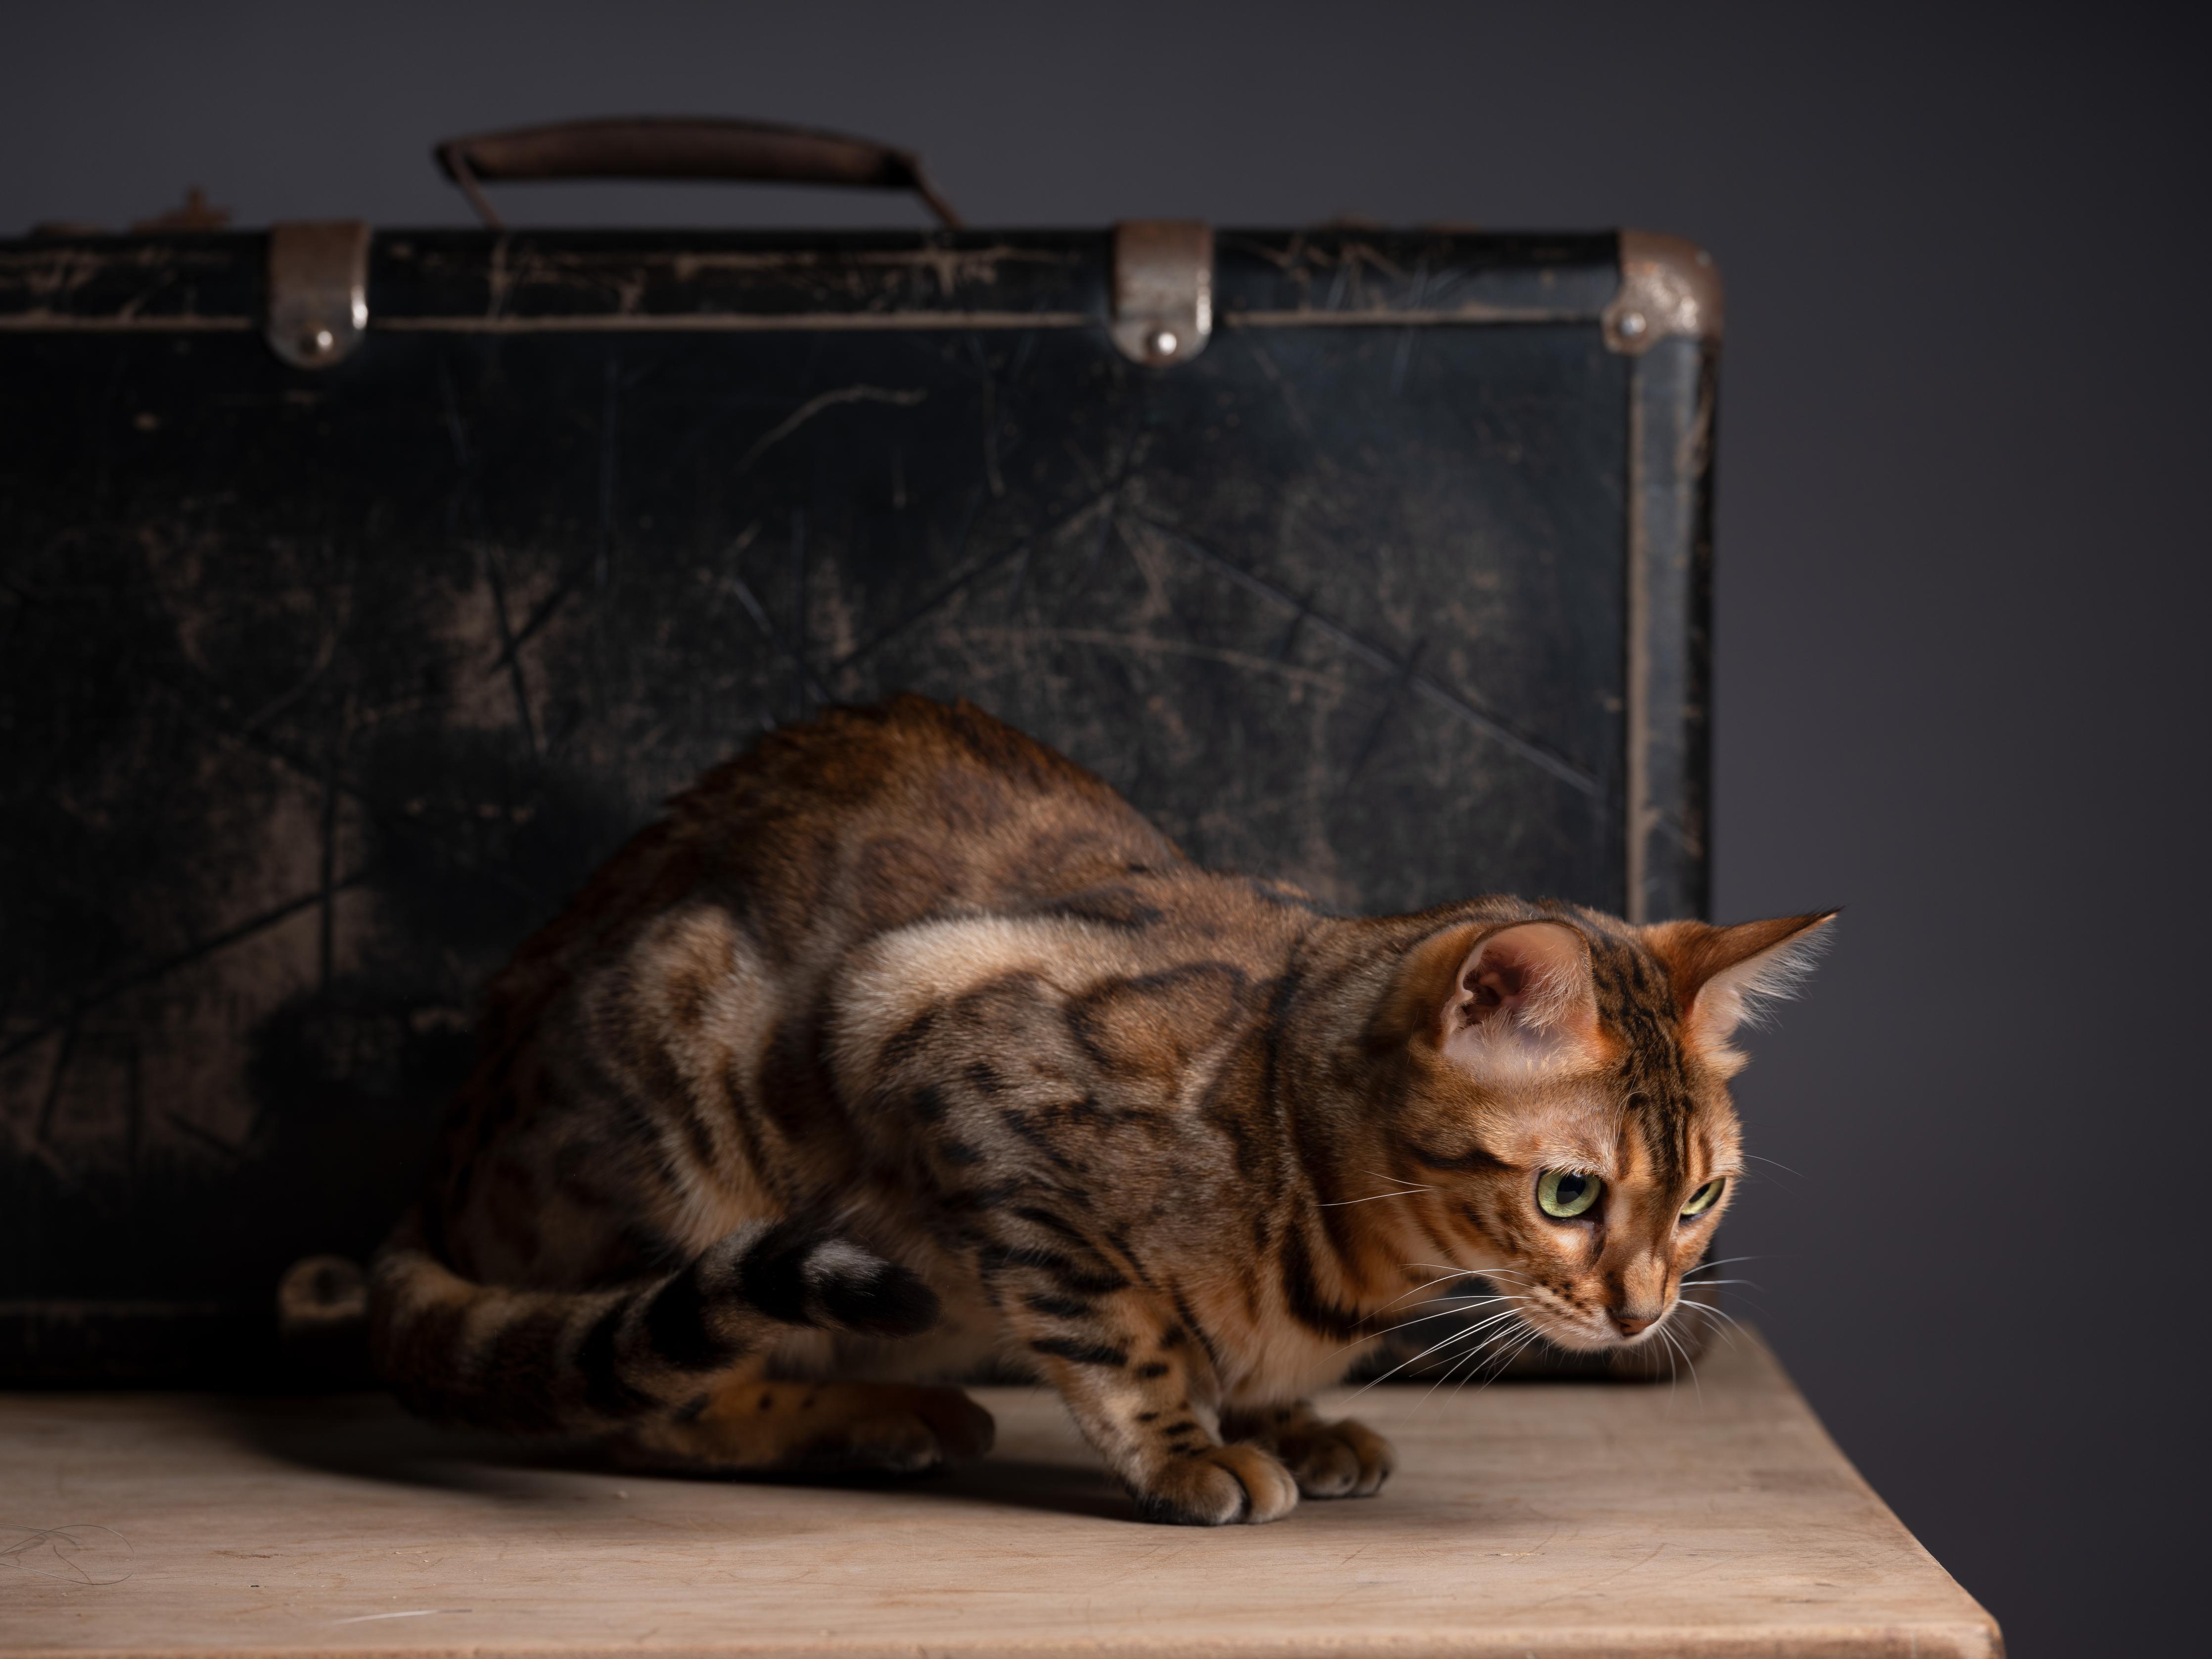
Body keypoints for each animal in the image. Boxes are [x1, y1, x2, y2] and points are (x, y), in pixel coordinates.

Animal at [376, 694, 1831, 1530]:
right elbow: (1122, 1328)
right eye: (1568, 1193)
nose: (1644, 1312)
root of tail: (431, 1193)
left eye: (1699, 1197)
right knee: (645, 1402)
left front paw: (1286, 1419)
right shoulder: (938, 1049)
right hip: (691, 1079)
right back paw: (879, 1420)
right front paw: (1191, 1448)